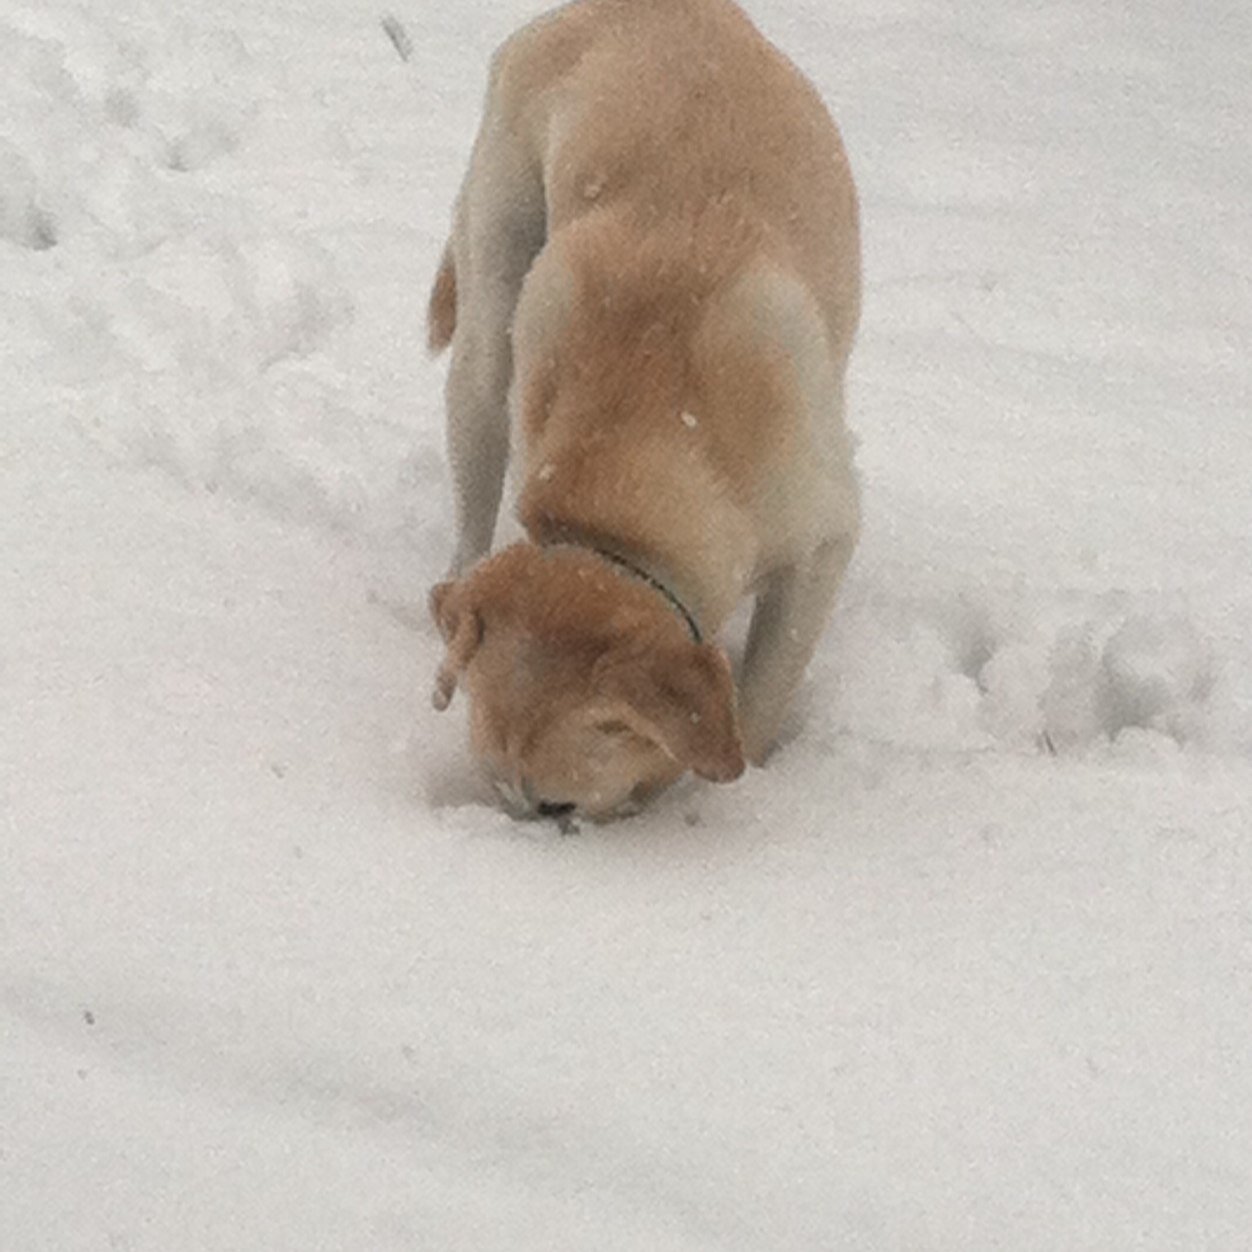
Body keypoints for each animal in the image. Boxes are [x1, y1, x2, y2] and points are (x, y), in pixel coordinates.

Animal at [425, 0, 856, 821]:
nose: (521, 837)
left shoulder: (823, 542)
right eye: (506, 800)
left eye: (558, 808)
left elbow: (760, 703)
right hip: (489, 333)